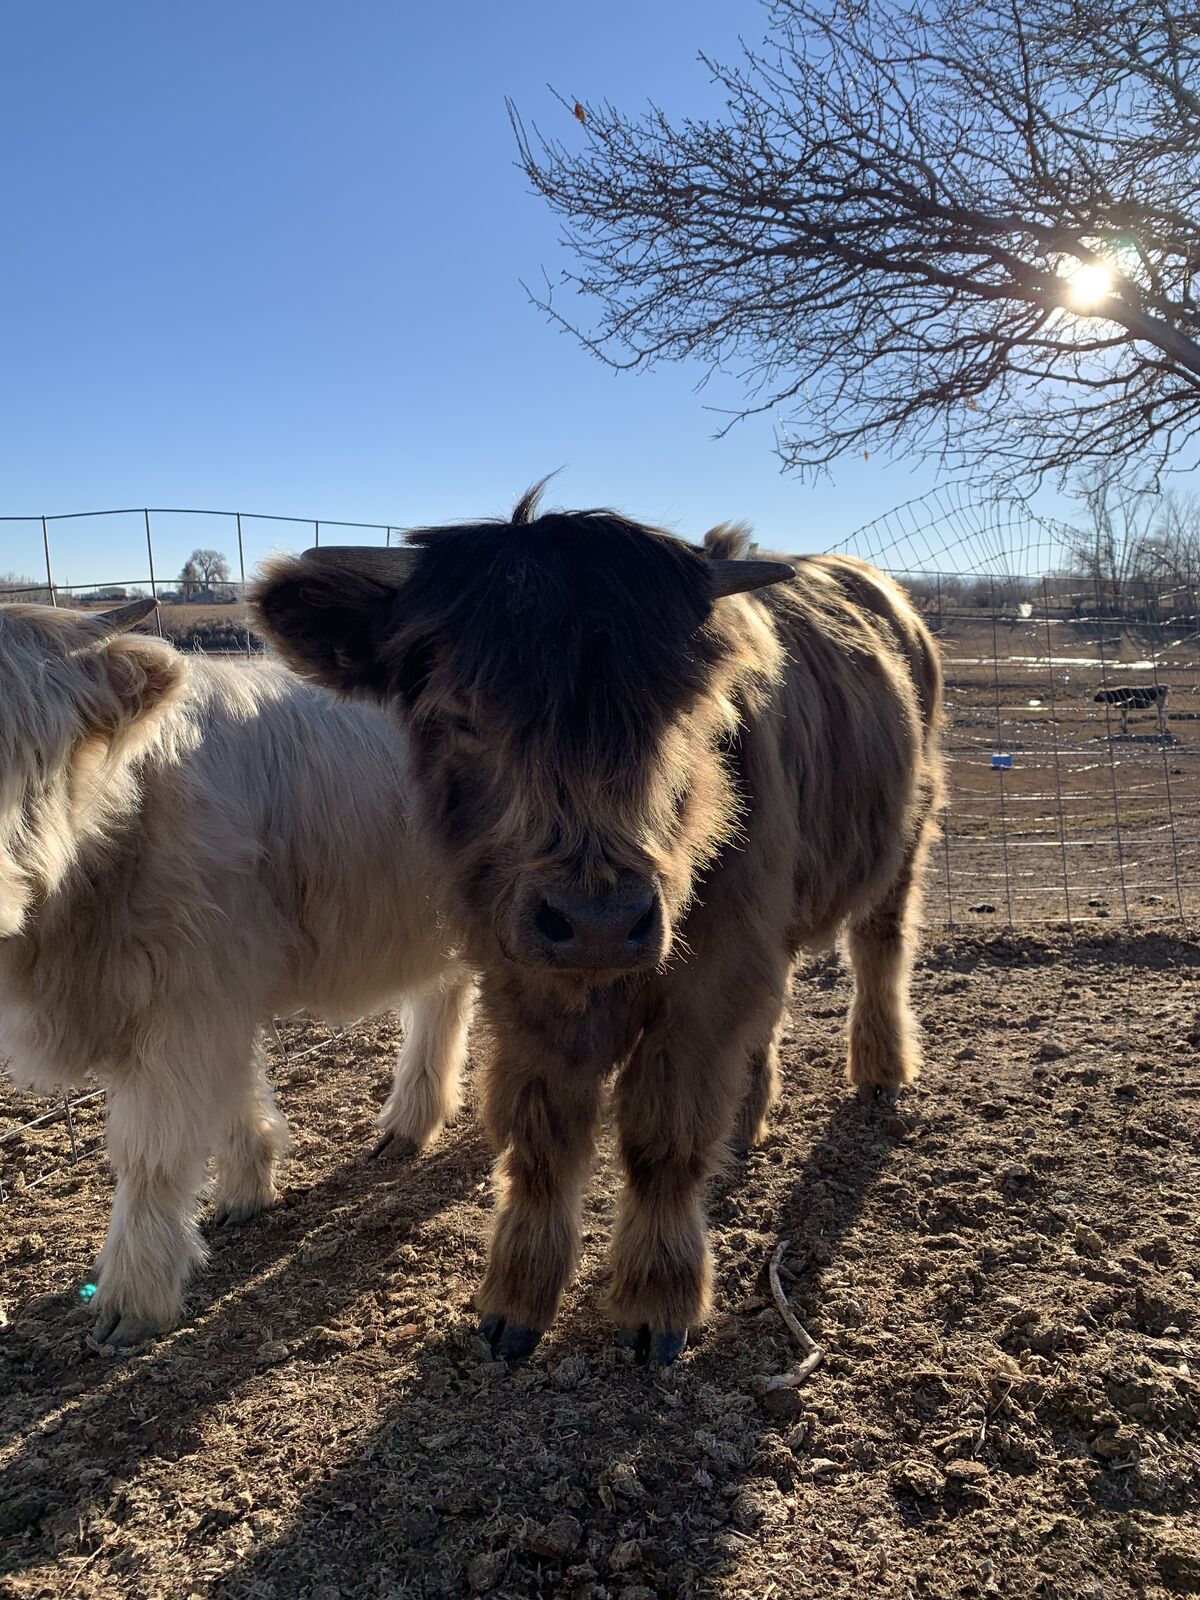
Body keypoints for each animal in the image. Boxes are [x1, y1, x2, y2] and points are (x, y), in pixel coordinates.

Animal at [0, 599, 472, 1350]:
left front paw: (131, 1298)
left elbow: (150, 1153)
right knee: (446, 995)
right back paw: (412, 1120)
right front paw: (248, 1184)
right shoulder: (209, 990)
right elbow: (232, 1090)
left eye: (32, 751)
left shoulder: (190, 994)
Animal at [254, 487, 943, 1365]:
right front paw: (516, 1298)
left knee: (880, 947)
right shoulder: (522, 977)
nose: (598, 921)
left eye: (681, 711)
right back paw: (748, 1118)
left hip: (906, 836)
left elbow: (664, 1133)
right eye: (462, 714)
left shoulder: (706, 978)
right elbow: (542, 1135)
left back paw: (881, 1070)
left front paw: (658, 1300)